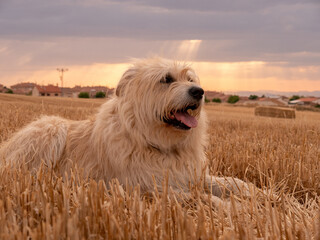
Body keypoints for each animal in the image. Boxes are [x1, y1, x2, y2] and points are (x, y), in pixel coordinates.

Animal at [0, 57, 249, 197]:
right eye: (166, 79)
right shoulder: (153, 187)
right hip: (52, 127)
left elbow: (226, 182)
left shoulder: (189, 175)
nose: (199, 91)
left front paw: (255, 192)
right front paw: (233, 208)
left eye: (190, 79)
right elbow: (203, 199)